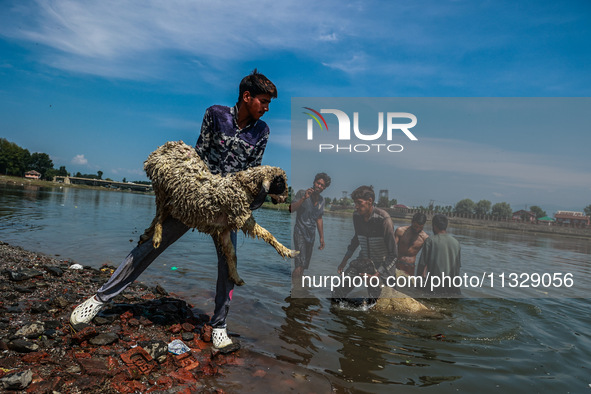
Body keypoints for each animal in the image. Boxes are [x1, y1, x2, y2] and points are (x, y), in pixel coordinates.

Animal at [138, 141, 296, 286]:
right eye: (279, 182)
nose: (284, 198)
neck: (241, 187)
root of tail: (166, 146)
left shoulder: (224, 228)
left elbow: (231, 254)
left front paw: (236, 277)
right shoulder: (241, 215)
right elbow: (267, 234)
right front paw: (288, 251)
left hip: (171, 198)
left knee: (160, 214)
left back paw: (146, 235)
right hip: (161, 187)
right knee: (159, 214)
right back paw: (156, 237)